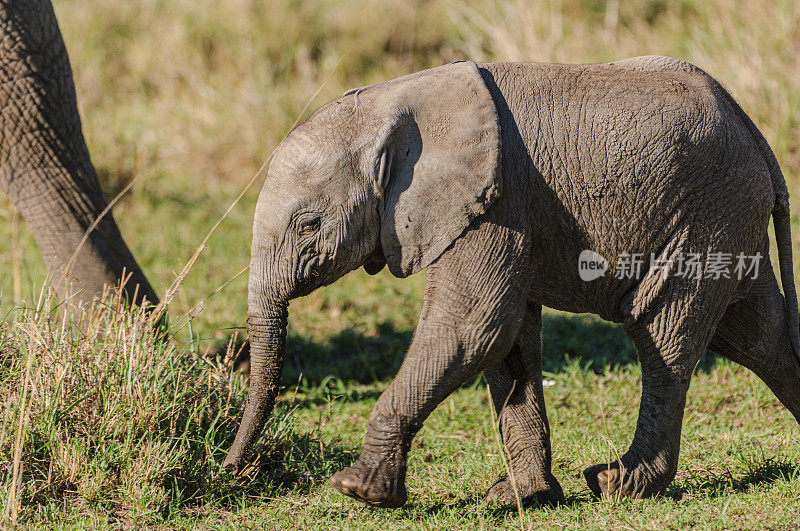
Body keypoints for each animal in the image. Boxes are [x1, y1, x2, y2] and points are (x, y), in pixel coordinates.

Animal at [220, 56, 800, 510]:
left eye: (308, 224)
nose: (231, 473)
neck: (396, 102)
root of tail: (760, 143)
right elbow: (508, 342)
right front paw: (523, 498)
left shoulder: (493, 204)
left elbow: (473, 329)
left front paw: (359, 491)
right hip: (727, 219)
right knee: (759, 337)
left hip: (705, 216)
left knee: (662, 334)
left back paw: (616, 484)